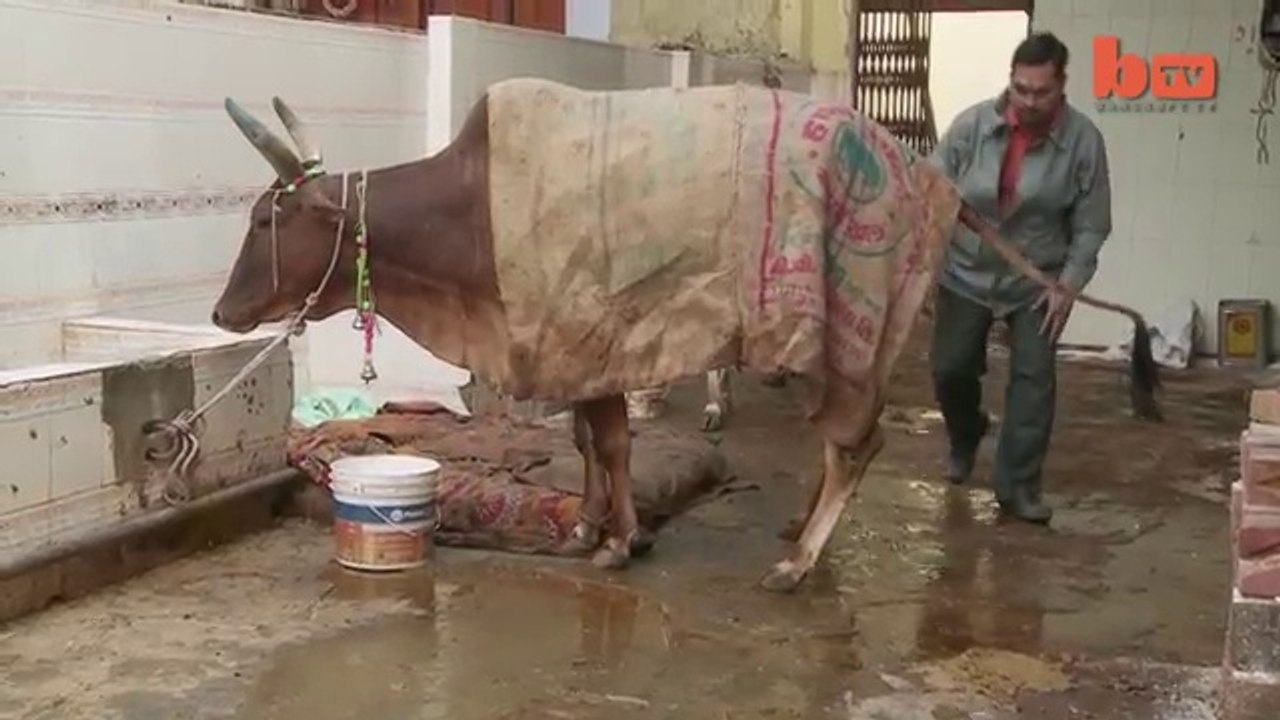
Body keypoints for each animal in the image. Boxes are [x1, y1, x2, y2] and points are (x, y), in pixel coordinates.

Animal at [210, 84, 1158, 593]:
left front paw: (617, 541)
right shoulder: (581, 354)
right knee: (845, 444)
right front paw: (593, 528)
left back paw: (799, 562)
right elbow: (589, 442)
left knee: (856, 442)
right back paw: (797, 531)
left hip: (841, 337)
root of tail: (928, 175)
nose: (221, 314)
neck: (466, 219)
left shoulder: (591, 335)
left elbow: (612, 444)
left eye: (263, 218)